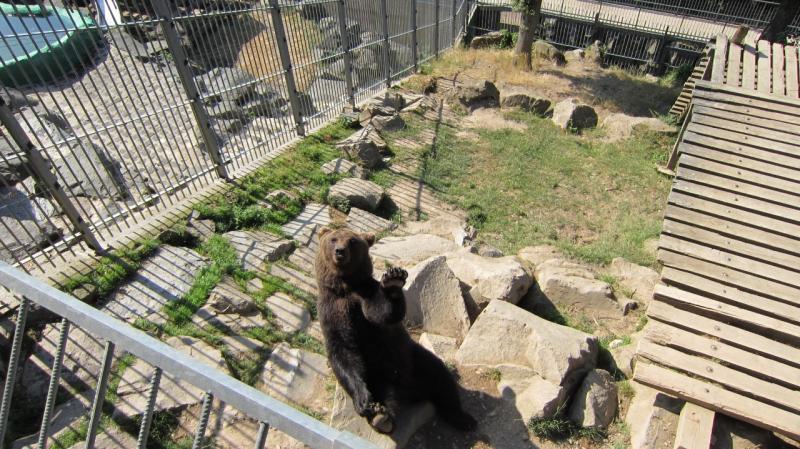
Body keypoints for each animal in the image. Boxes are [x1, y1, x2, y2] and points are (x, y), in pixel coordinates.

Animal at [312, 226, 476, 432]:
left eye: (352, 241)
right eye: (333, 239)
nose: (340, 251)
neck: (345, 286)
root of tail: (411, 391)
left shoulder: (367, 294)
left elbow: (384, 314)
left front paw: (393, 279)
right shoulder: (331, 310)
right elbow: (342, 353)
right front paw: (363, 400)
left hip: (413, 358)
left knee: (441, 378)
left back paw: (463, 418)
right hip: (378, 372)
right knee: (387, 393)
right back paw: (380, 417)